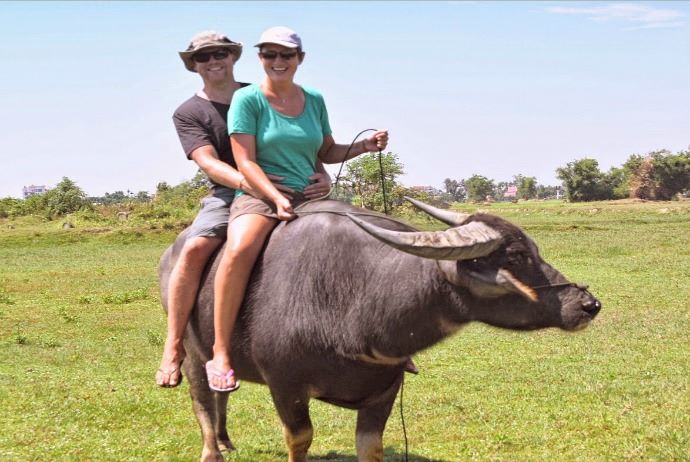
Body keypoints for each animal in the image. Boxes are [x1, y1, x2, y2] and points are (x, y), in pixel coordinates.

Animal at [159, 197, 600, 460]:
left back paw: (227, 440)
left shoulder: (385, 389)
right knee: (203, 398)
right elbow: (299, 439)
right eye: (516, 256)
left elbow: (371, 448)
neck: (352, 299)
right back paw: (212, 449)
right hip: (194, 352)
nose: (588, 304)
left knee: (222, 394)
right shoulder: (285, 385)